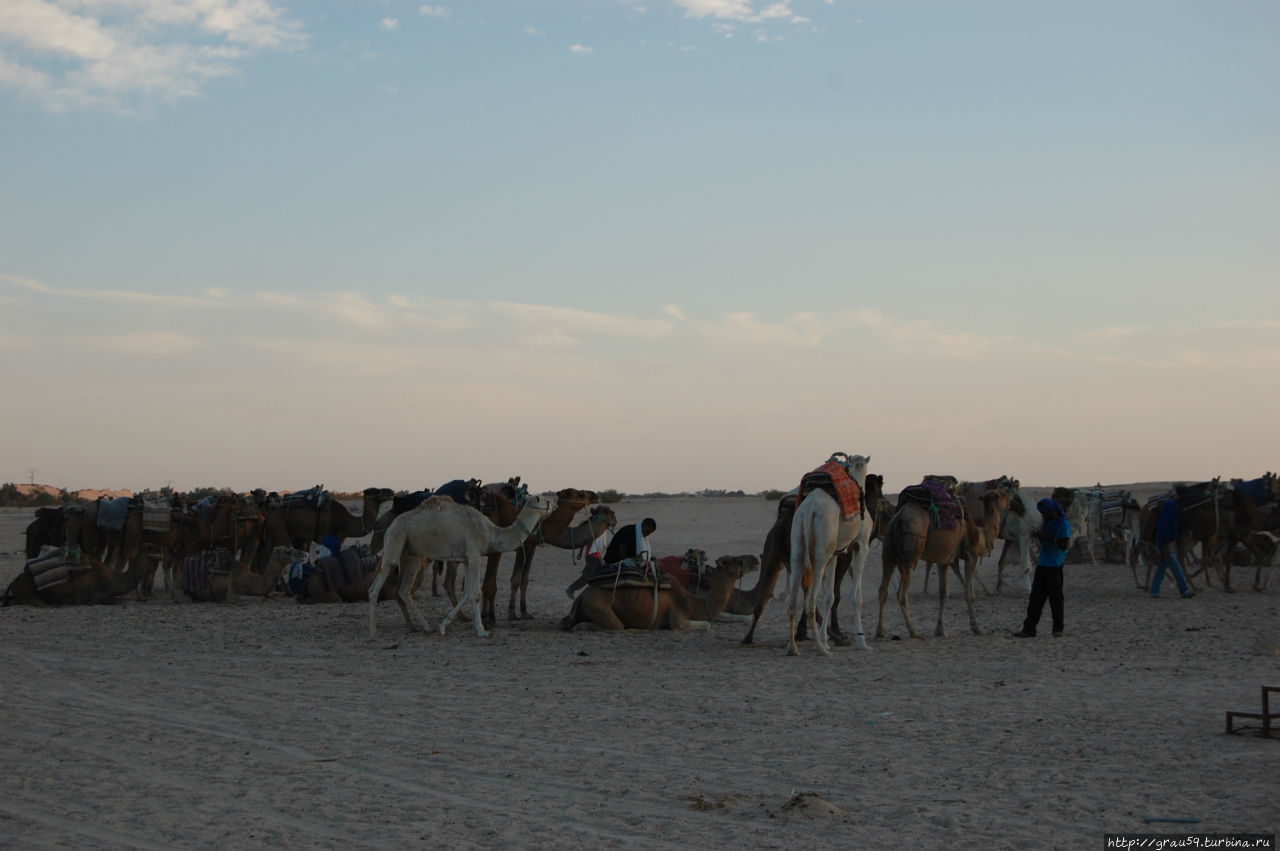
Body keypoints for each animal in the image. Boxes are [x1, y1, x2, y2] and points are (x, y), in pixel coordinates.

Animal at [366, 491, 555, 637]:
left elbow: (467, 593)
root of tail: (390, 527)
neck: (492, 532)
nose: (555, 503)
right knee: (377, 586)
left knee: (404, 590)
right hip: (396, 541)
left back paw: (425, 626)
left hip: (412, 555)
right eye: (543, 499)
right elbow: (476, 593)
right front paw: (482, 630)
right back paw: (373, 630)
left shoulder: (466, 558)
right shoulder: (474, 555)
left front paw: (443, 626)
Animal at [560, 547, 747, 627]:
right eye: (732, 561)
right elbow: (706, 625)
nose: (748, 560)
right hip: (597, 605)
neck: (692, 602)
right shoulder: (677, 618)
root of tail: (582, 597)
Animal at [778, 450, 870, 655]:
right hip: (820, 557)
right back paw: (822, 650)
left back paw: (792, 648)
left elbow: (830, 597)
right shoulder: (860, 545)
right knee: (810, 603)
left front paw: (826, 639)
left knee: (793, 603)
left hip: (798, 548)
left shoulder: (835, 552)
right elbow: (857, 597)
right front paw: (862, 642)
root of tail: (809, 509)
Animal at [875, 478, 1003, 637]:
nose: (1010, 500)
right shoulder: (971, 555)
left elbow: (943, 594)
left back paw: (880, 632)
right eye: (1002, 494)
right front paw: (976, 628)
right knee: (902, 594)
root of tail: (899, 518)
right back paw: (914, 632)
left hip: (888, 550)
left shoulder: (944, 561)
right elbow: (969, 593)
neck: (980, 535)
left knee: (883, 590)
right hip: (911, 551)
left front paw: (940, 630)